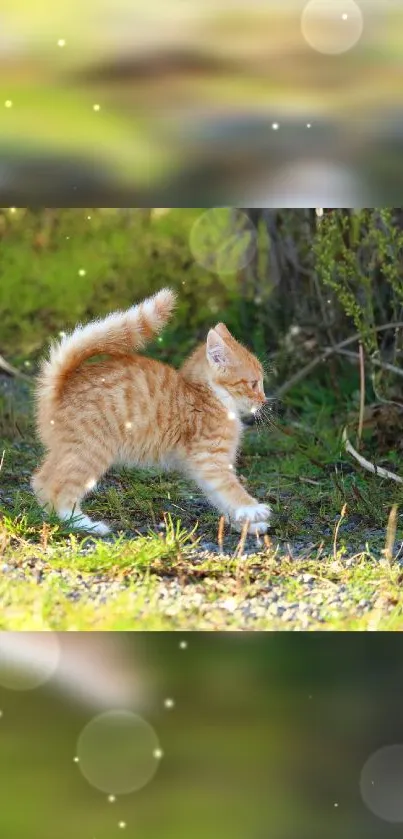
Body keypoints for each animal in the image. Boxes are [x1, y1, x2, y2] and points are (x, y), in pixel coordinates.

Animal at [31, 288, 272, 540]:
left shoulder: (205, 466)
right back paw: (84, 524)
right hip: (90, 450)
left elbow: (221, 498)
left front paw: (247, 525)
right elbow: (230, 488)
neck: (209, 395)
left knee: (41, 481)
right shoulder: (209, 458)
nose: (264, 400)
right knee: (57, 489)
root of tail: (62, 383)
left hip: (69, 450)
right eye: (254, 384)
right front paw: (253, 509)